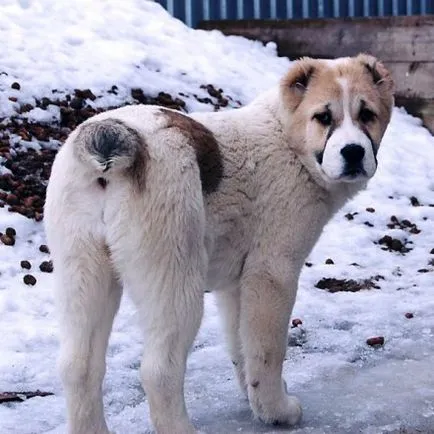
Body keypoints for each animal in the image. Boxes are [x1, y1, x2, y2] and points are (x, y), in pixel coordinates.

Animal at [43, 54, 394, 434]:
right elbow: (267, 350)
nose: (353, 152)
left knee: (77, 366)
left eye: (367, 114)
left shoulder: (234, 285)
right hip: (173, 279)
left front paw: (256, 401)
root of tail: (117, 138)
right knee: (159, 371)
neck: (287, 138)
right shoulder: (271, 273)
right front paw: (277, 410)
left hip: (83, 272)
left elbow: (242, 346)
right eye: (324, 117)